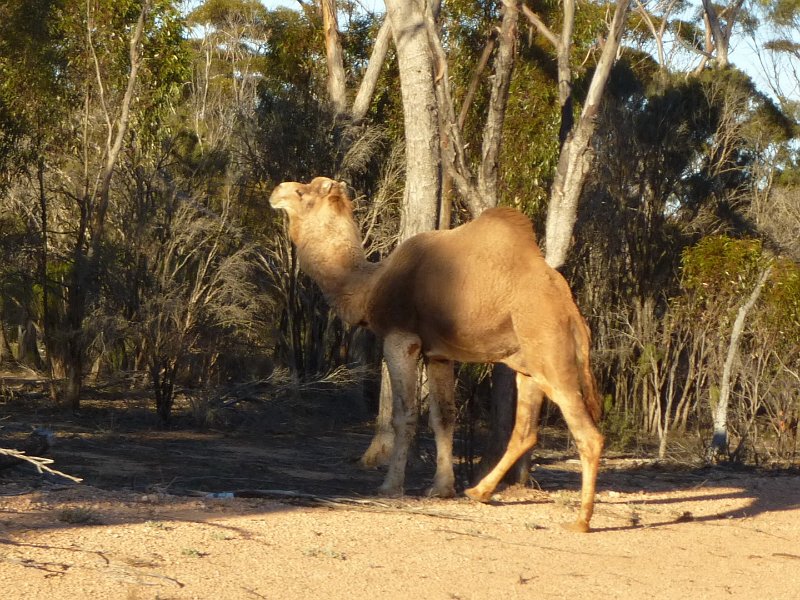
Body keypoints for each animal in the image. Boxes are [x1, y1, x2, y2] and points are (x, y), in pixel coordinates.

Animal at [272, 176, 604, 532]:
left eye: (302, 193)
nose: (277, 190)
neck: (369, 286)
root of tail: (572, 313)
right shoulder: (439, 354)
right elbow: (443, 417)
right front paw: (443, 488)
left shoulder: (400, 337)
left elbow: (404, 415)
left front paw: (391, 485)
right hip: (528, 366)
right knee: (526, 431)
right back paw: (478, 491)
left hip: (551, 354)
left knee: (588, 435)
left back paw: (580, 521)